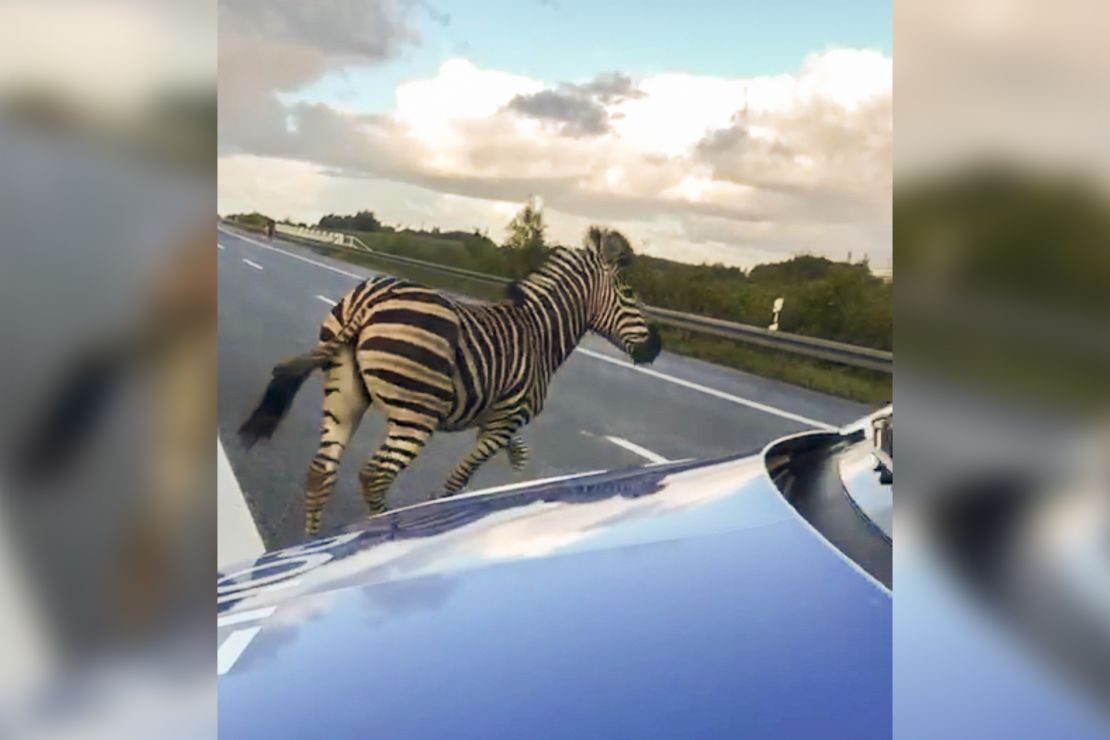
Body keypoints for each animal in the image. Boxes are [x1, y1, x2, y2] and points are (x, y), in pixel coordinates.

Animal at [238, 222, 657, 534]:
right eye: (630, 294)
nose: (656, 348)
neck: (541, 335)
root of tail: (369, 300)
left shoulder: (497, 418)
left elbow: (508, 457)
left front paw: (520, 473)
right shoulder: (504, 421)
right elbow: (459, 479)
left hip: (345, 396)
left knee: (321, 471)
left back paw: (312, 542)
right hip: (415, 415)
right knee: (374, 474)